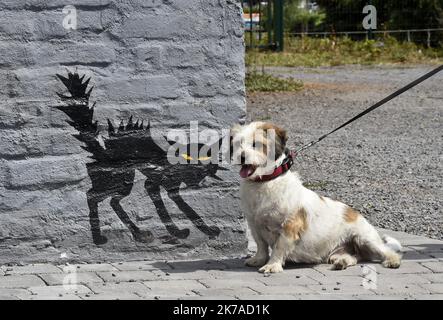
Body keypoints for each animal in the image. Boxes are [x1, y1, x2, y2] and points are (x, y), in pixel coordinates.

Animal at [232, 122, 402, 272]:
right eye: (239, 143)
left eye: (256, 144)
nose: (241, 157)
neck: (265, 183)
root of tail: (356, 214)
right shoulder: (255, 225)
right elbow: (261, 245)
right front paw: (259, 260)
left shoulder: (289, 227)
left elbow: (278, 248)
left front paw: (272, 265)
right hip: (343, 250)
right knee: (353, 257)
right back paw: (342, 262)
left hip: (365, 239)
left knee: (387, 252)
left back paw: (392, 261)